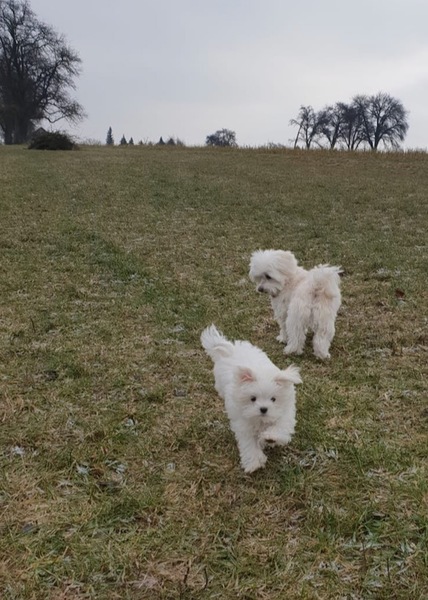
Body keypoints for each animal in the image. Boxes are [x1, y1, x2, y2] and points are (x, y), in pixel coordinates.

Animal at [201, 324, 301, 473]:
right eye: (253, 399)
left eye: (273, 399)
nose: (263, 409)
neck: (261, 420)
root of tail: (230, 349)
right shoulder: (243, 425)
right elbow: (249, 444)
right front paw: (253, 463)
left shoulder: (285, 413)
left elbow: (280, 426)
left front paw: (271, 437)